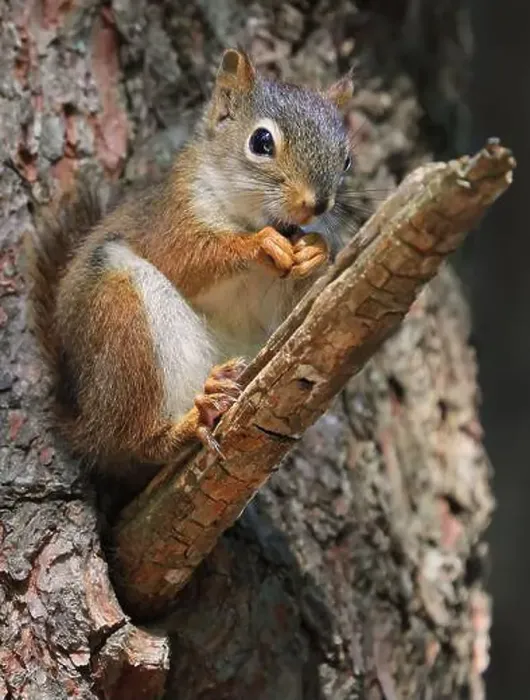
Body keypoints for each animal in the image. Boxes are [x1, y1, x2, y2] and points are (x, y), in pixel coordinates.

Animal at [26, 49, 356, 497]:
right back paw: (186, 424)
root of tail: (87, 425)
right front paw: (259, 245)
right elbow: (188, 258)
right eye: (261, 142)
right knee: (133, 440)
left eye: (346, 158)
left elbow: (289, 313)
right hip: (121, 322)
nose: (316, 205)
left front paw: (316, 252)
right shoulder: (171, 219)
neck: (248, 216)